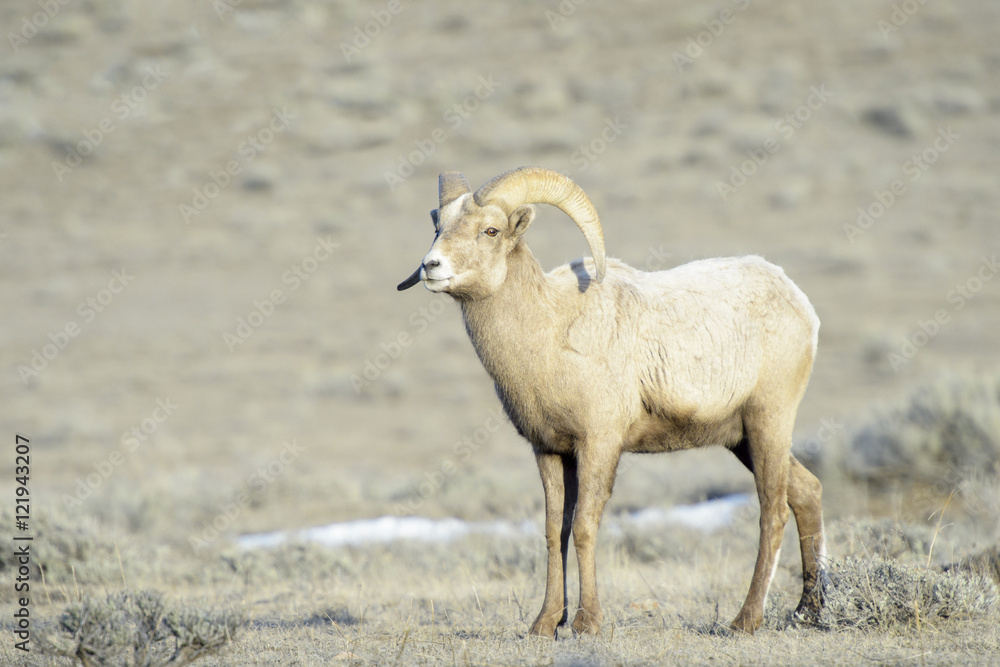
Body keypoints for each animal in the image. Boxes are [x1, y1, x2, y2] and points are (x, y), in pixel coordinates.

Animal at [397, 166, 825, 637]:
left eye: (490, 230)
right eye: (438, 226)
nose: (431, 266)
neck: (551, 333)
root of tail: (800, 304)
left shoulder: (599, 445)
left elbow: (585, 526)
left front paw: (587, 622)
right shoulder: (549, 451)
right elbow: (555, 531)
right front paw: (545, 624)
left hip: (768, 422)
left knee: (773, 511)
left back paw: (746, 620)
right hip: (741, 440)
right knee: (807, 493)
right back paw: (809, 611)